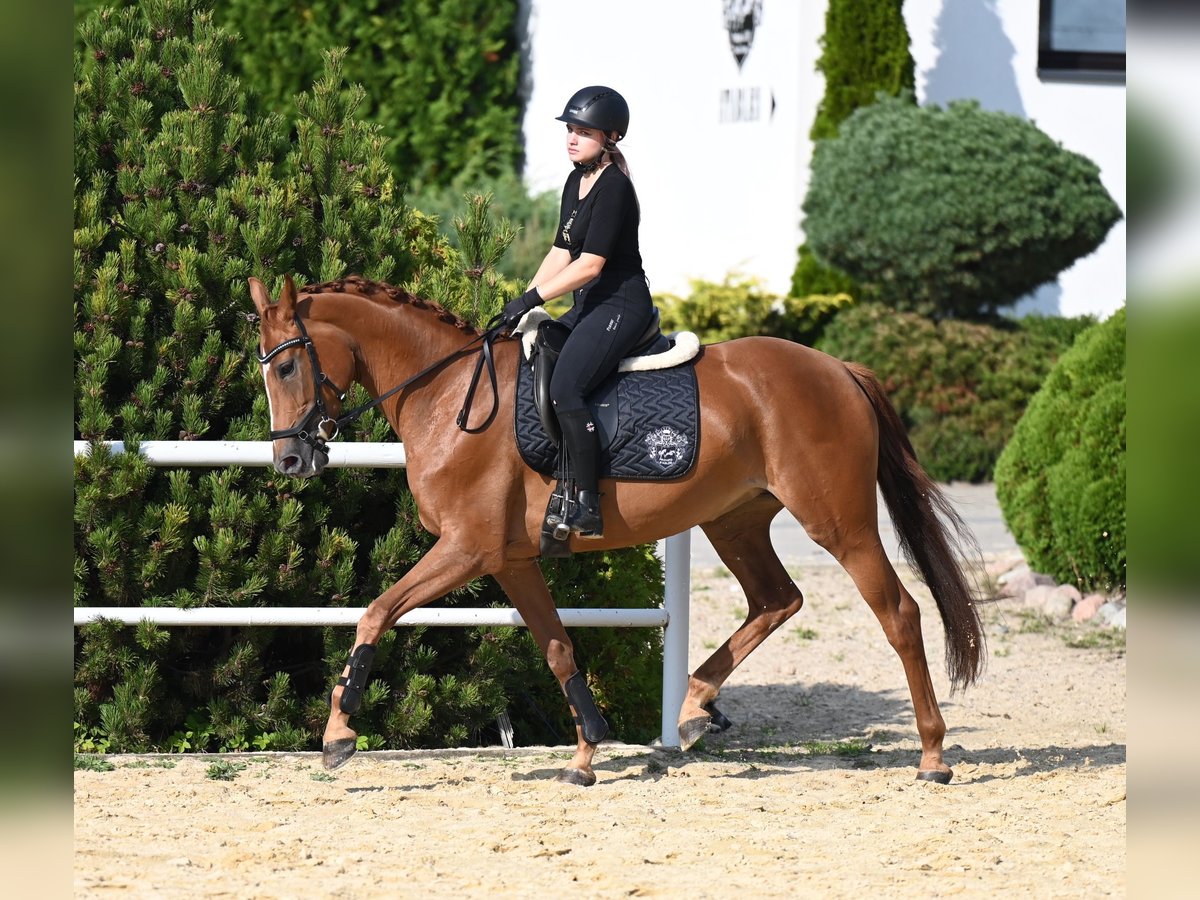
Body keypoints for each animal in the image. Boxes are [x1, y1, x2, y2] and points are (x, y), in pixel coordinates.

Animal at [246, 277, 984, 787]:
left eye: (286, 365)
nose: (289, 462)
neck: (449, 394)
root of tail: (838, 369)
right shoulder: (509, 560)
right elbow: (558, 649)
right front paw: (586, 751)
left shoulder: (466, 549)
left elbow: (376, 612)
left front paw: (338, 734)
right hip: (734, 521)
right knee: (778, 600)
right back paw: (693, 709)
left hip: (838, 523)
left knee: (898, 612)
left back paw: (932, 753)